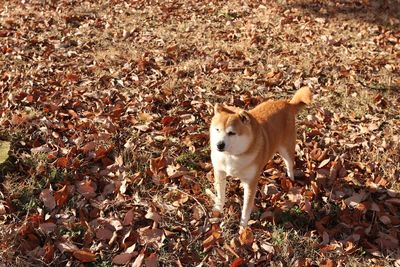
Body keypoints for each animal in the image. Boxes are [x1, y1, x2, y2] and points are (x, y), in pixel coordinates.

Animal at [209, 87, 312, 227]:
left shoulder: (250, 183)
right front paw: (218, 210)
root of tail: (287, 104)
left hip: (286, 149)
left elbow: (246, 209)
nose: (219, 145)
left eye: (231, 133)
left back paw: (291, 179)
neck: (232, 156)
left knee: (290, 164)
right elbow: (220, 195)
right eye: (217, 130)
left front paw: (243, 227)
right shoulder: (219, 171)